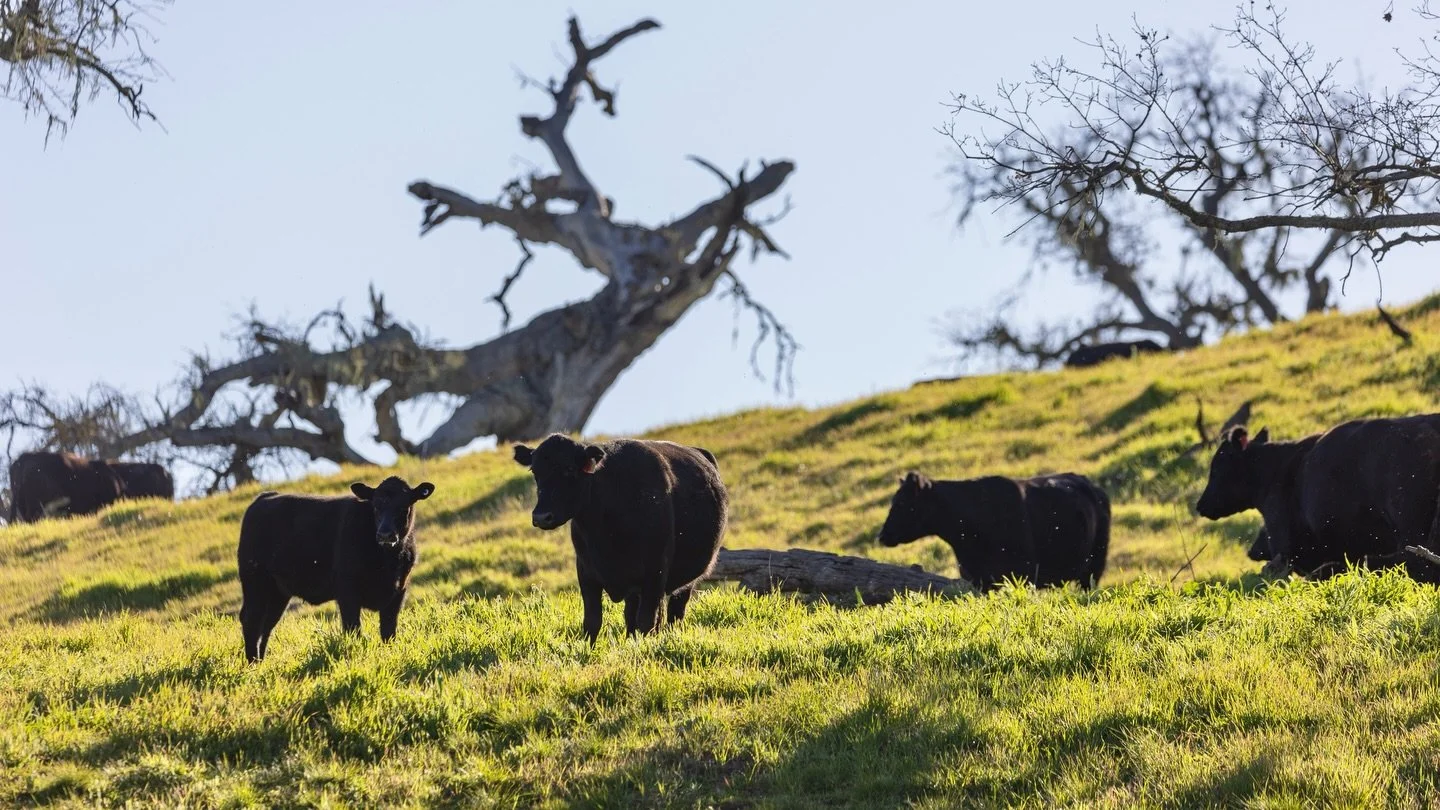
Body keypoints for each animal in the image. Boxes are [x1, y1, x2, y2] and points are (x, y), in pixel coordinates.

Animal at [236, 476, 435, 662]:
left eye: (404, 506)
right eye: (376, 506)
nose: (385, 534)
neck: (387, 562)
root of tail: (264, 497)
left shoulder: (398, 591)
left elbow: (388, 632)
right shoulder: (347, 592)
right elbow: (353, 630)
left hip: (278, 592)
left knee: (267, 624)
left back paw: (260, 661)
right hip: (255, 580)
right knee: (252, 620)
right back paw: (253, 664)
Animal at [512, 433, 729, 644]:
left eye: (569, 469)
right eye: (535, 471)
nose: (541, 516)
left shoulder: (655, 571)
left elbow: (646, 622)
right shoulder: (586, 571)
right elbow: (592, 621)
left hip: (685, 581)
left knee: (674, 613)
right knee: (631, 615)